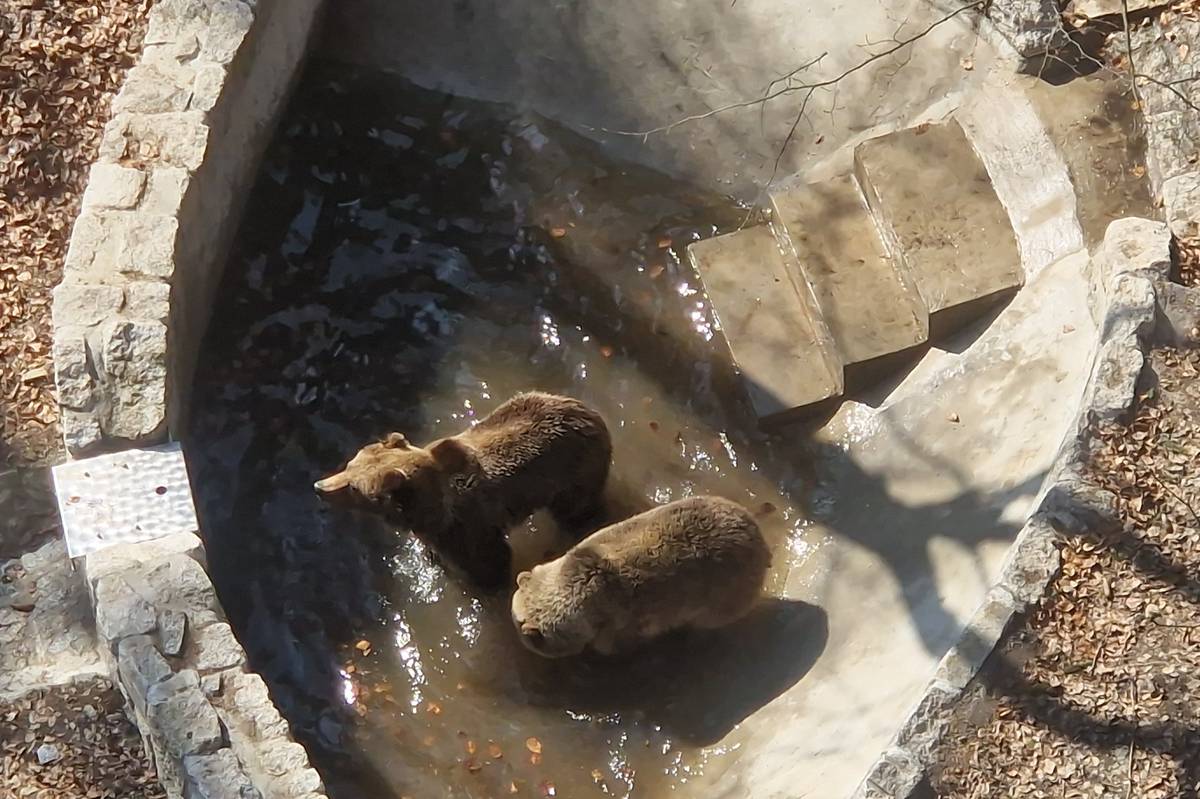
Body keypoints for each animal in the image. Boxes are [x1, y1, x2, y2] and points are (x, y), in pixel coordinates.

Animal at [314, 392, 612, 589]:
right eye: (350, 464)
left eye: (354, 488)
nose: (319, 487)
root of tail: (589, 410)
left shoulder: (467, 529)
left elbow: (489, 562)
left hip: (574, 473)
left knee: (575, 508)